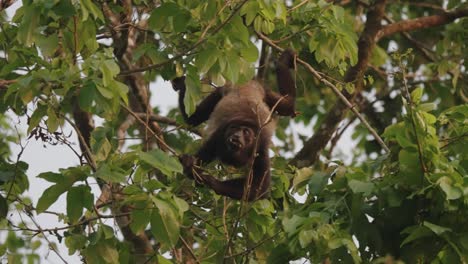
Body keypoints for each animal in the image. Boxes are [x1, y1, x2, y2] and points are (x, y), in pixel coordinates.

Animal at [172, 49, 296, 200]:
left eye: (246, 132)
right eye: (234, 128)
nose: (236, 136)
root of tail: (243, 81)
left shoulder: (260, 148)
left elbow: (260, 188)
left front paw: (209, 181)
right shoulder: (218, 137)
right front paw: (190, 164)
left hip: (264, 91)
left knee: (288, 105)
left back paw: (283, 62)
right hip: (221, 90)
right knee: (193, 118)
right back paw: (183, 85)